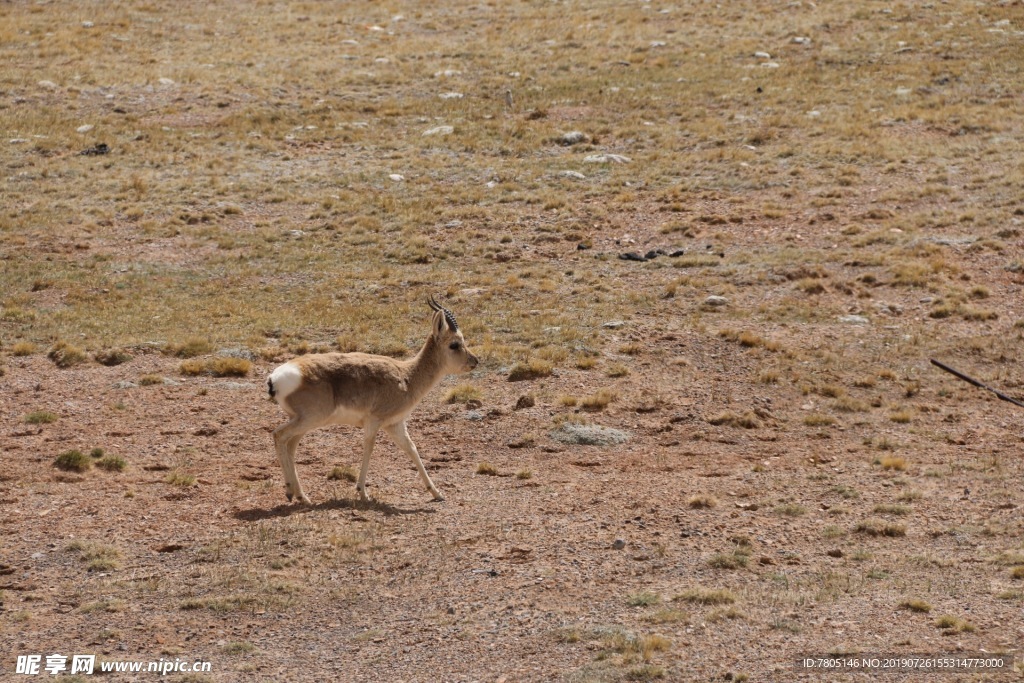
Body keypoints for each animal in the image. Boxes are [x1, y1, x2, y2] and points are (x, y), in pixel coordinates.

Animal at [270, 296, 481, 505]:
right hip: (309, 420)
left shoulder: (395, 425)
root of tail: (275, 378)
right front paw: (363, 492)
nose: (475, 360)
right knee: (279, 435)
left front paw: (436, 493)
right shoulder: (374, 421)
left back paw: (298, 495)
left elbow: (412, 449)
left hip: (304, 422)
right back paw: (294, 492)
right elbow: (369, 449)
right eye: (454, 344)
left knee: (290, 445)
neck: (406, 377)